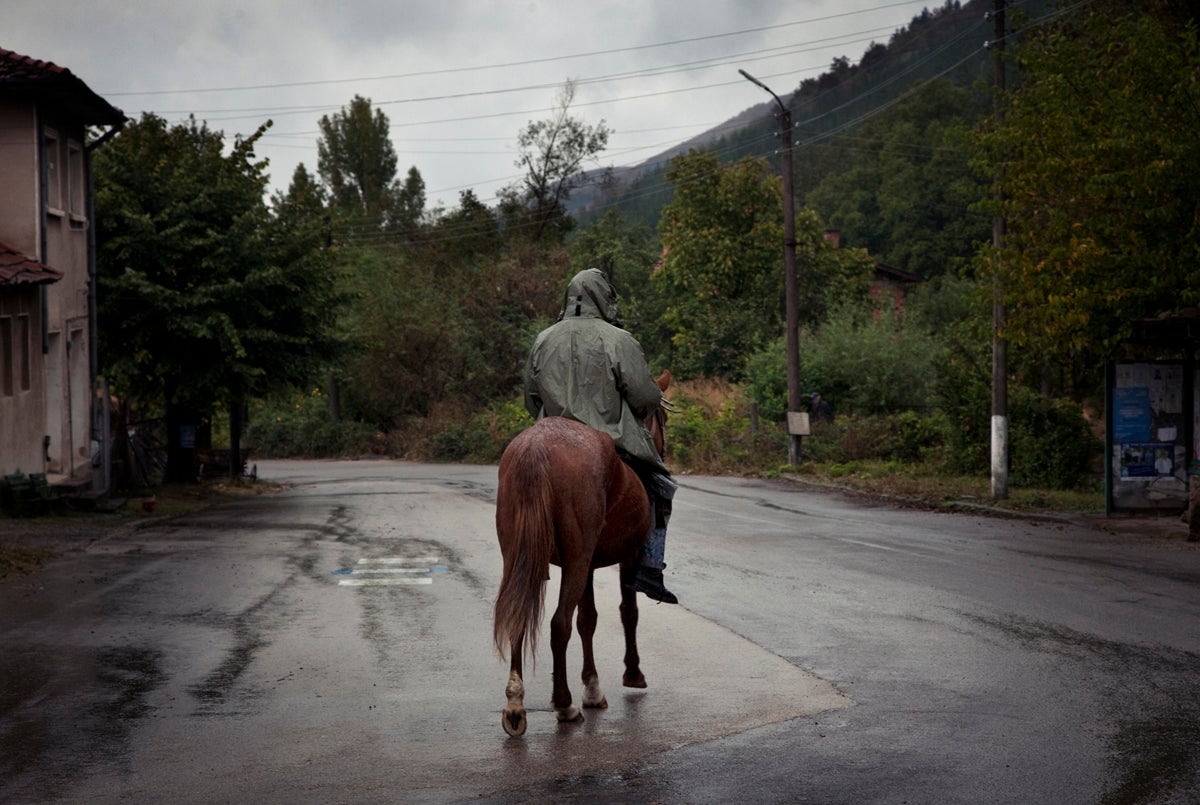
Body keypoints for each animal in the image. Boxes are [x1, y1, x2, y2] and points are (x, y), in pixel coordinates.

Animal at [492, 371, 672, 739]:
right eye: (660, 417)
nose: (664, 452)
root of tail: (536, 448)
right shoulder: (626, 557)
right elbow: (626, 612)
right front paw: (631, 674)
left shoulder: (587, 564)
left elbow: (587, 619)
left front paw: (593, 686)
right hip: (576, 559)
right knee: (559, 624)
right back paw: (564, 705)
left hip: (521, 557)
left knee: (519, 615)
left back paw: (515, 704)